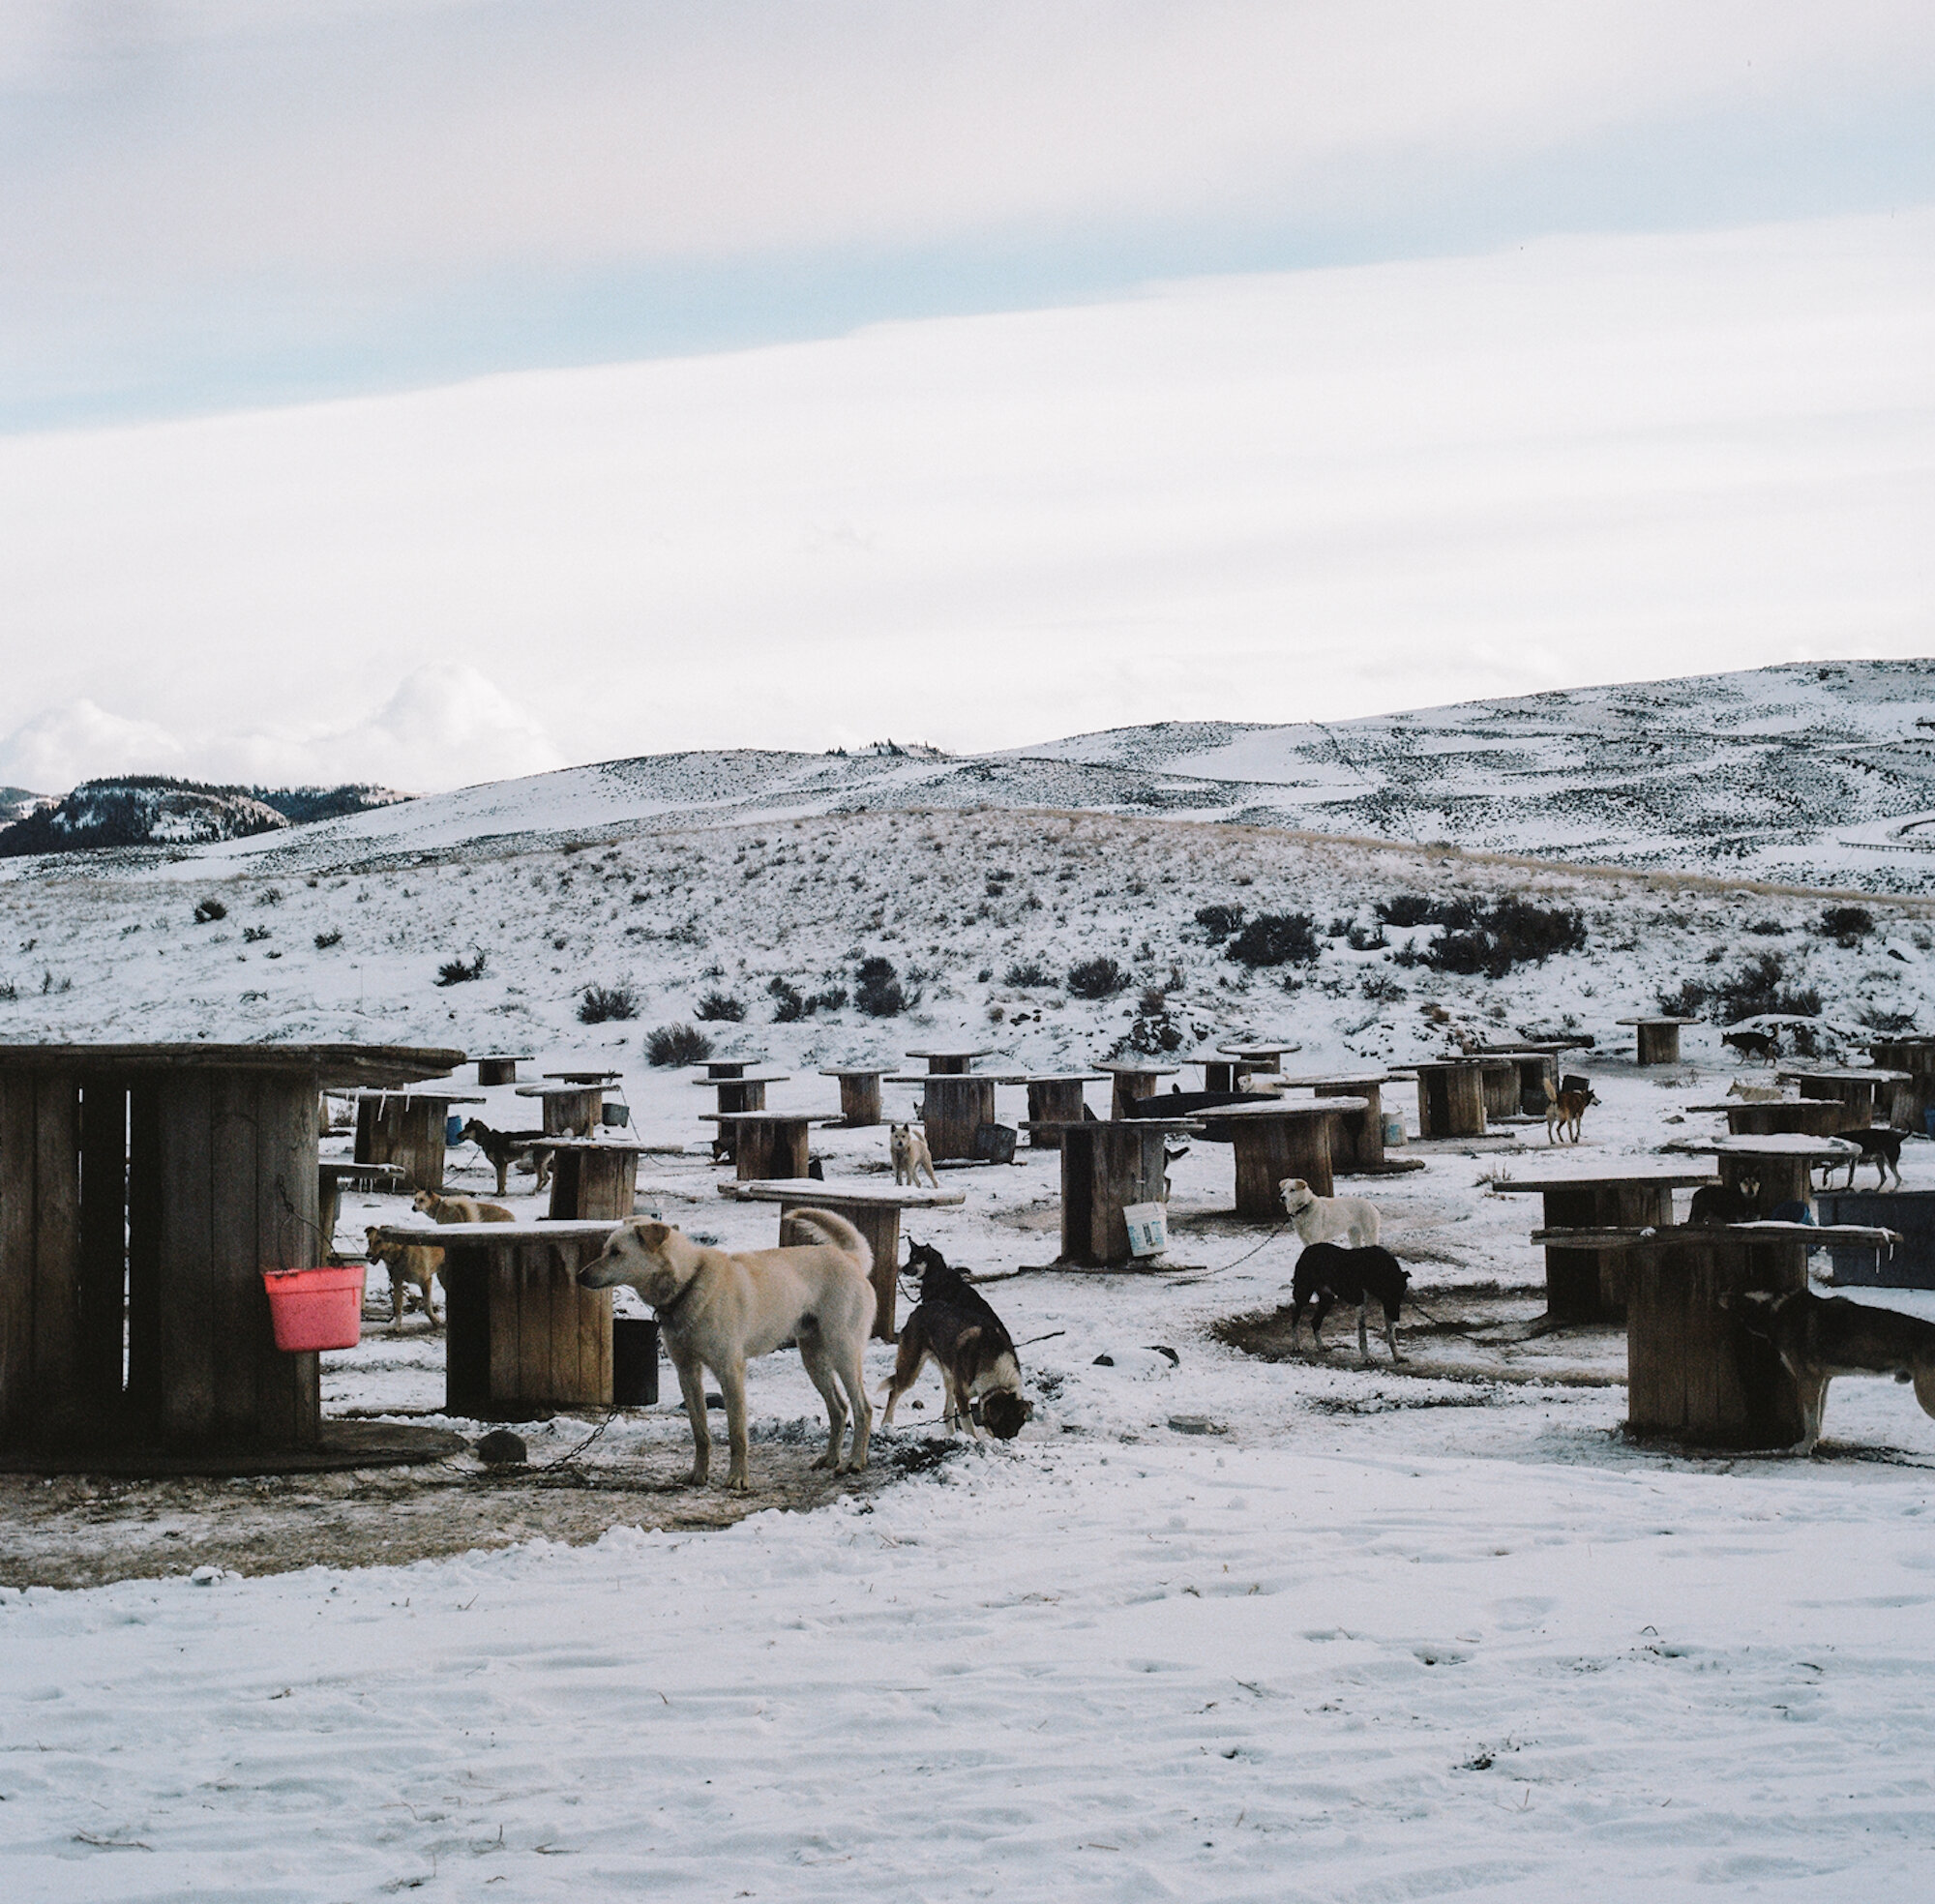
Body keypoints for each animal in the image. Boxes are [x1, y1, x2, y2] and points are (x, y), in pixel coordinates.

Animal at [573, 1215, 878, 1494]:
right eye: (605, 1249)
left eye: (616, 1252)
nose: (579, 1276)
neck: (687, 1283)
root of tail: (850, 1258)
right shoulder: (687, 1372)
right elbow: (700, 1433)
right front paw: (698, 1475)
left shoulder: (730, 1371)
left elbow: (737, 1434)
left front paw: (738, 1479)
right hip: (813, 1357)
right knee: (839, 1408)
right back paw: (830, 1459)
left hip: (843, 1350)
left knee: (862, 1407)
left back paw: (854, 1461)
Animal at [882, 1238, 1037, 1432]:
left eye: (915, 1259)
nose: (903, 1269)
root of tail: (919, 1309)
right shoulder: (962, 1397)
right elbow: (970, 1429)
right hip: (912, 1369)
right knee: (893, 1392)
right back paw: (886, 1425)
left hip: (947, 1374)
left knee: (946, 1413)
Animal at [1293, 1238, 1416, 1362]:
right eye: (1390, 1295)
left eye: (1400, 1296)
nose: (1397, 1318)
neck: (1374, 1268)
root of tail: (1309, 1248)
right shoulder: (1362, 1303)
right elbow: (1363, 1332)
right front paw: (1367, 1357)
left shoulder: (1387, 1307)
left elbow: (1391, 1335)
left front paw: (1397, 1356)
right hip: (1303, 1294)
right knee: (1296, 1318)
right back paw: (1296, 1344)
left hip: (1328, 1300)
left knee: (1315, 1322)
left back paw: (1321, 1345)